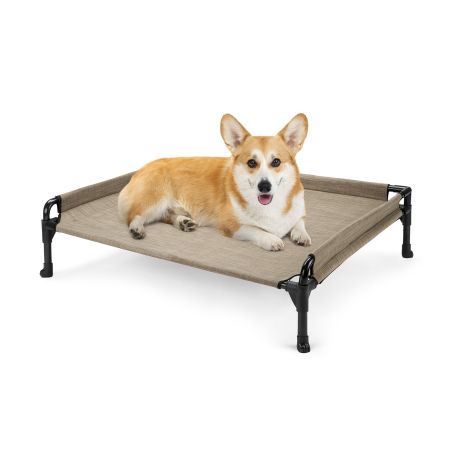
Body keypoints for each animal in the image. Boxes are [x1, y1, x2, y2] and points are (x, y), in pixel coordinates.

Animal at [118, 114, 311, 251]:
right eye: (251, 163)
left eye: (276, 162)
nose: (264, 186)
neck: (271, 206)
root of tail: (140, 168)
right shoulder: (231, 225)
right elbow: (256, 230)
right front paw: (272, 239)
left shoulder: (298, 212)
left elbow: (299, 221)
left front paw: (301, 235)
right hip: (155, 200)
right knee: (134, 216)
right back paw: (136, 229)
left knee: (165, 216)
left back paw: (183, 222)